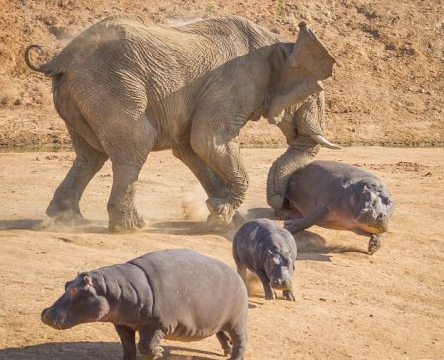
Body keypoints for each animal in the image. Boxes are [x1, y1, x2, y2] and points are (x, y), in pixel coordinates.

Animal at [25, 14, 336, 231]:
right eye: (314, 94)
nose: (279, 206)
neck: (279, 43)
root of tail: (60, 57)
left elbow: (191, 148)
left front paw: (224, 216)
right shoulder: (235, 83)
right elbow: (208, 141)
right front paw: (221, 214)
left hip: (77, 94)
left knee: (90, 155)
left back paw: (66, 219)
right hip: (112, 86)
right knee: (135, 144)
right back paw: (131, 227)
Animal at [40, 249, 250, 360]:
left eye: (75, 291)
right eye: (66, 284)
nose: (45, 313)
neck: (115, 289)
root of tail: (238, 276)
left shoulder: (157, 325)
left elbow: (145, 346)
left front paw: (158, 353)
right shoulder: (122, 324)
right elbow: (128, 346)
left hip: (237, 320)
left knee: (241, 340)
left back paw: (234, 357)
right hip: (218, 320)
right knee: (222, 334)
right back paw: (226, 351)